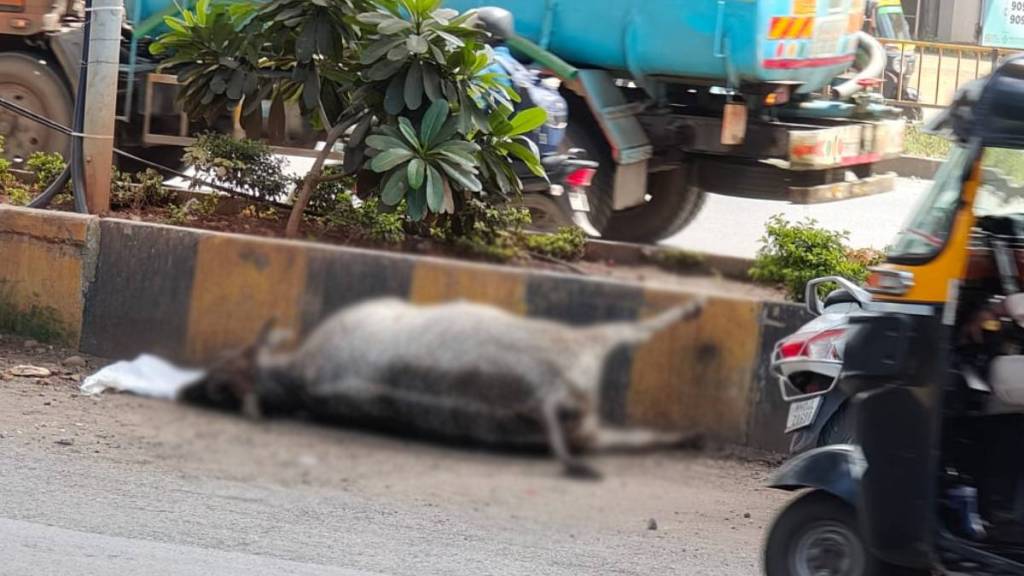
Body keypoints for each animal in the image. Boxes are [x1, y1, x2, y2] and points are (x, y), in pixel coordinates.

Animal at [182, 295, 704, 475]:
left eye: (220, 377)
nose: (187, 391)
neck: (295, 379)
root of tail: (545, 398)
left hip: (587, 424)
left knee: (633, 438)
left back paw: (688, 436)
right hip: (580, 345)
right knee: (635, 331)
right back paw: (690, 310)